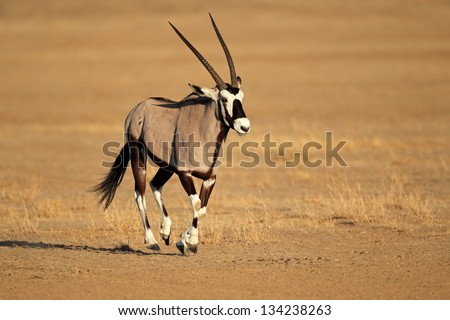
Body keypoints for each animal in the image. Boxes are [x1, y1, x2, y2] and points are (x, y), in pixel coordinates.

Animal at [92, 14, 251, 255]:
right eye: (224, 99)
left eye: (240, 96)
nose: (244, 126)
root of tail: (138, 108)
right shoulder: (184, 173)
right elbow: (196, 203)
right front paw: (191, 242)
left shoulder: (210, 178)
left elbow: (202, 208)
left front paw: (181, 240)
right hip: (139, 156)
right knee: (140, 193)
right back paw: (152, 240)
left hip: (166, 167)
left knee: (155, 185)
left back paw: (166, 231)